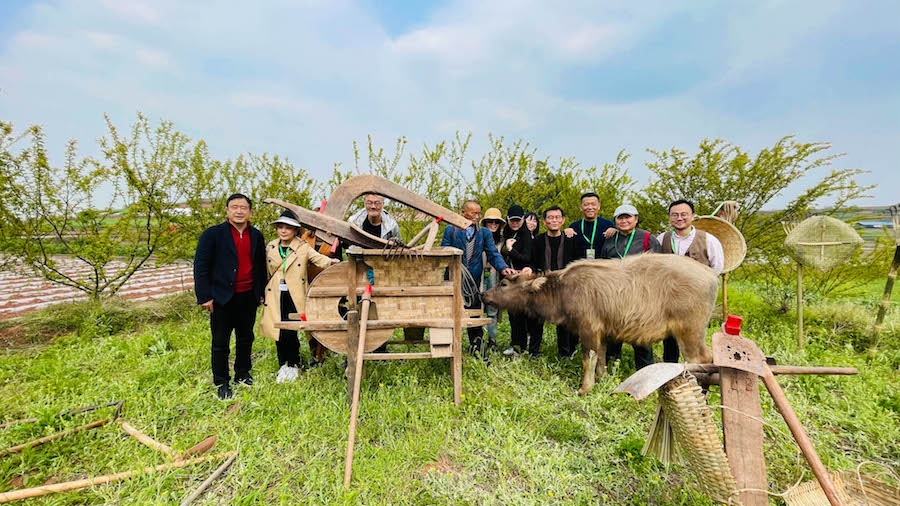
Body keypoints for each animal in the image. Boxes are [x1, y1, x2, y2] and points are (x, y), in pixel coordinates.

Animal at [482, 255, 720, 394]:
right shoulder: (603, 332)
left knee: (700, 360)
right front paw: (602, 379)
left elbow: (588, 358)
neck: (562, 290)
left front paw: (585, 388)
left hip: (689, 332)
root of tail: (711, 274)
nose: (483, 294)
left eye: (503, 283)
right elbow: (602, 358)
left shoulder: (588, 330)